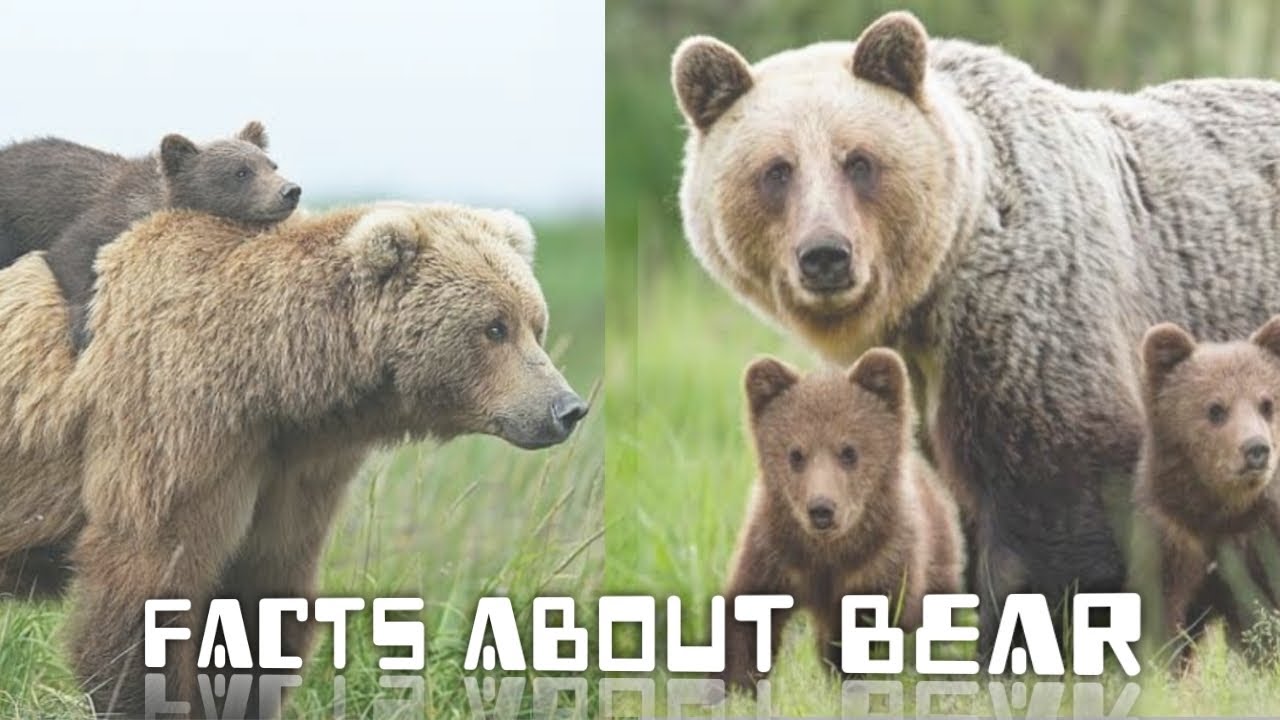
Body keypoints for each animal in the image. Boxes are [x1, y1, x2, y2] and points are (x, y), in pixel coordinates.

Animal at [0, 121, 301, 350]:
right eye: (241, 172)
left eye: (271, 165)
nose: (290, 190)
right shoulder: (106, 216)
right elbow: (70, 251)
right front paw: (83, 331)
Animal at [0, 202, 588, 717]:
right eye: (494, 327)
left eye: (535, 323)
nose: (567, 408)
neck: (272, 380)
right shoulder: (176, 429)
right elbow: (148, 578)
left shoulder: (291, 470)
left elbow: (263, 599)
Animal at [719, 349, 963, 691]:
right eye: (795, 454)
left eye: (849, 451)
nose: (822, 508)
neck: (827, 555)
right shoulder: (772, 552)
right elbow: (747, 620)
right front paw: (735, 686)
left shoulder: (881, 563)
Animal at [1132, 317, 1280, 667]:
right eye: (1215, 409)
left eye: (1266, 403)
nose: (1256, 449)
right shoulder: (1172, 538)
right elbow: (1164, 618)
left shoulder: (1259, 539)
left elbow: (1263, 616)